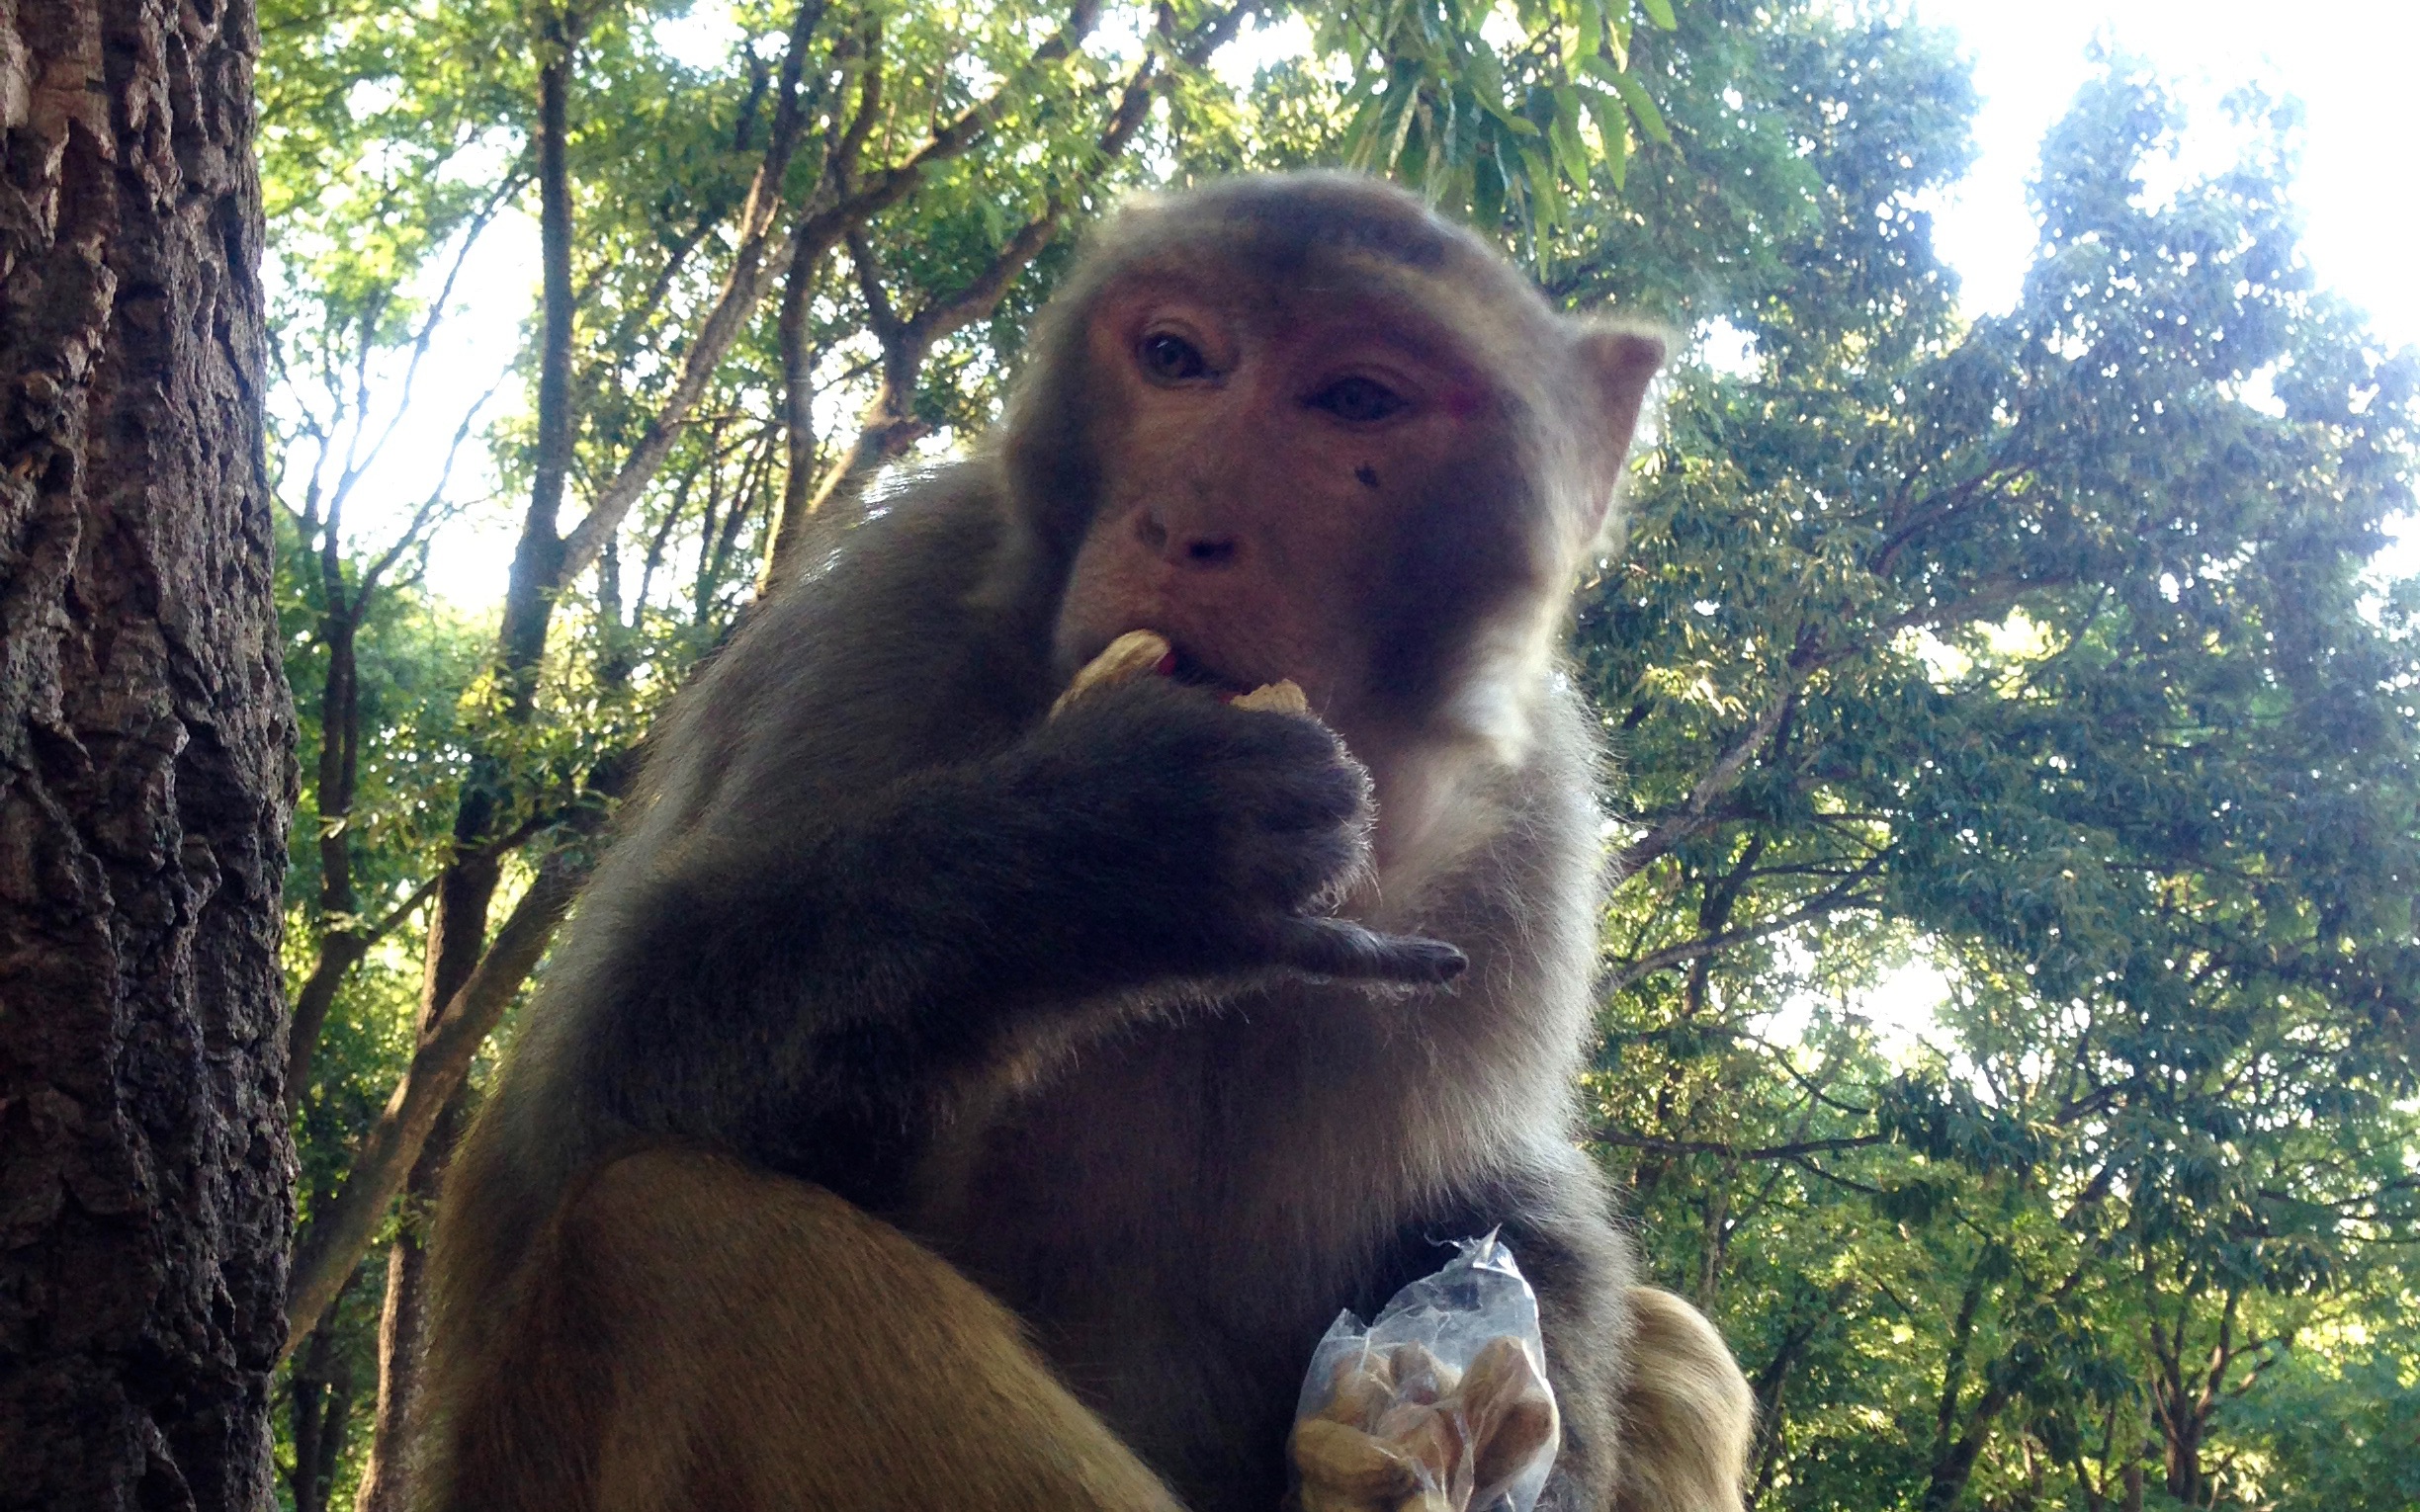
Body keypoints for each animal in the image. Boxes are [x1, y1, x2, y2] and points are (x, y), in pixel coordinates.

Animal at [416, 170, 1752, 1499]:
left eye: (1358, 400)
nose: (1182, 524)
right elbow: (565, 1118)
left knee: (1672, 1337)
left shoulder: (1536, 817)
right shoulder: (886, 614)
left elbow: (1493, 1204)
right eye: (1175, 359)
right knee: (672, 1239)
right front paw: (1106, 859)